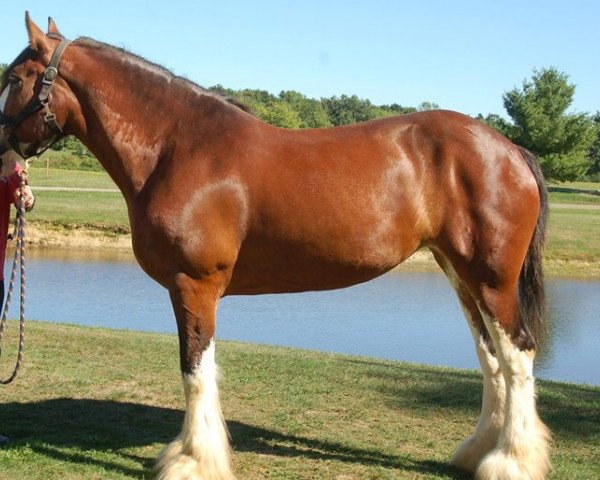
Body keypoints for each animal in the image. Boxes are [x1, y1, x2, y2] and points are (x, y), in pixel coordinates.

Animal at [0, 14, 552, 480]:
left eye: (16, 77)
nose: (3, 149)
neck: (177, 148)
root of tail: (510, 150)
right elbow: (202, 371)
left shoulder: (193, 285)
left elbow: (195, 371)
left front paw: (194, 461)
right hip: (461, 275)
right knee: (491, 358)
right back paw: (477, 452)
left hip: (492, 279)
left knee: (517, 355)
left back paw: (511, 461)